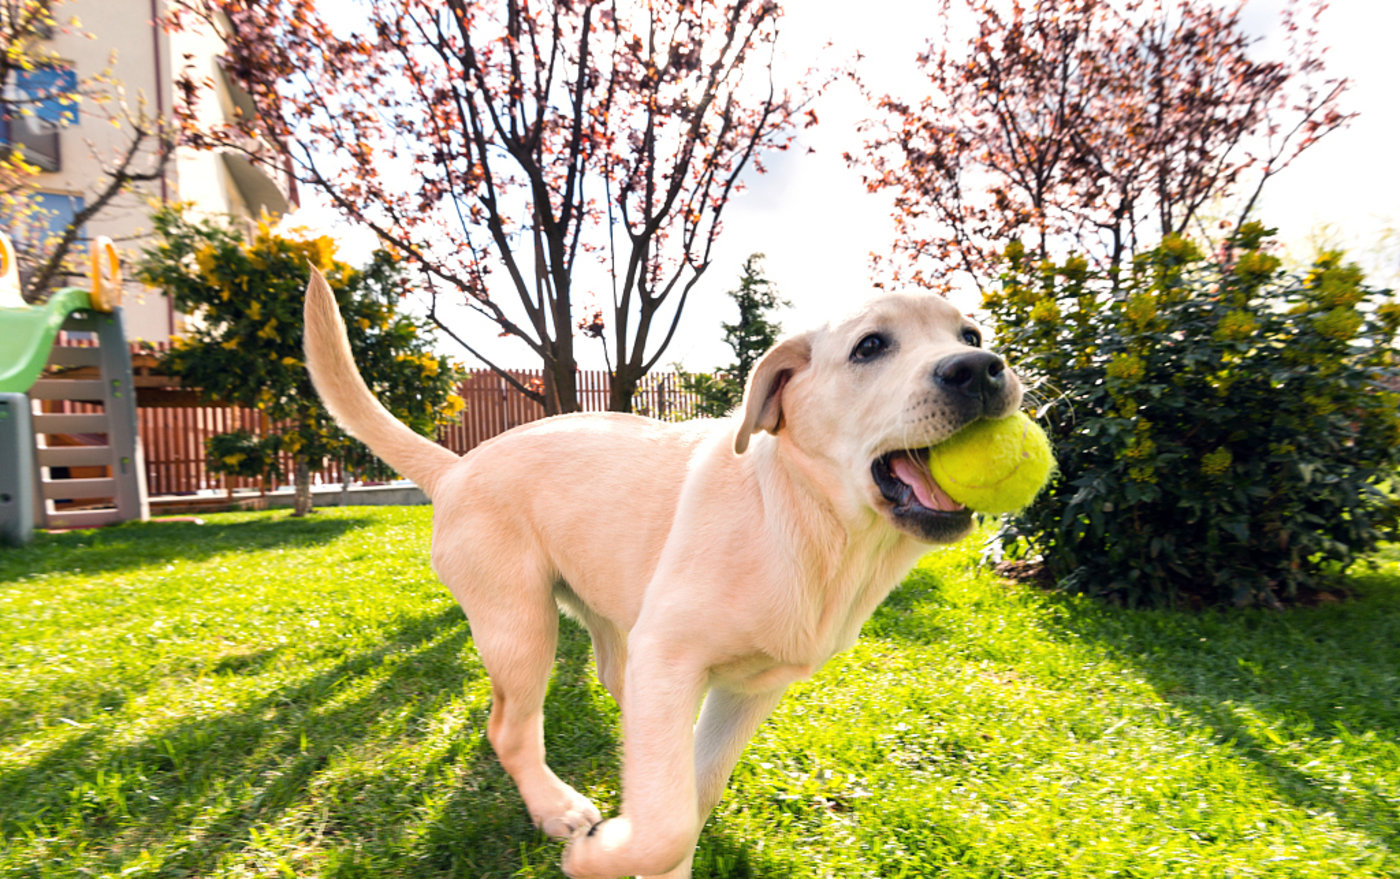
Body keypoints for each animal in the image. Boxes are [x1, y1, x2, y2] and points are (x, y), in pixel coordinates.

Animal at [306, 271, 1024, 873]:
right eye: (870, 346)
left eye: (971, 335)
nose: (981, 368)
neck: (806, 521)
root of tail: (457, 466)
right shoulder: (673, 654)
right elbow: (668, 821)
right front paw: (602, 854)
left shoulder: (748, 689)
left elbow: (692, 793)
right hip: (521, 624)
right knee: (509, 729)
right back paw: (557, 809)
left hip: (612, 622)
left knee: (623, 701)